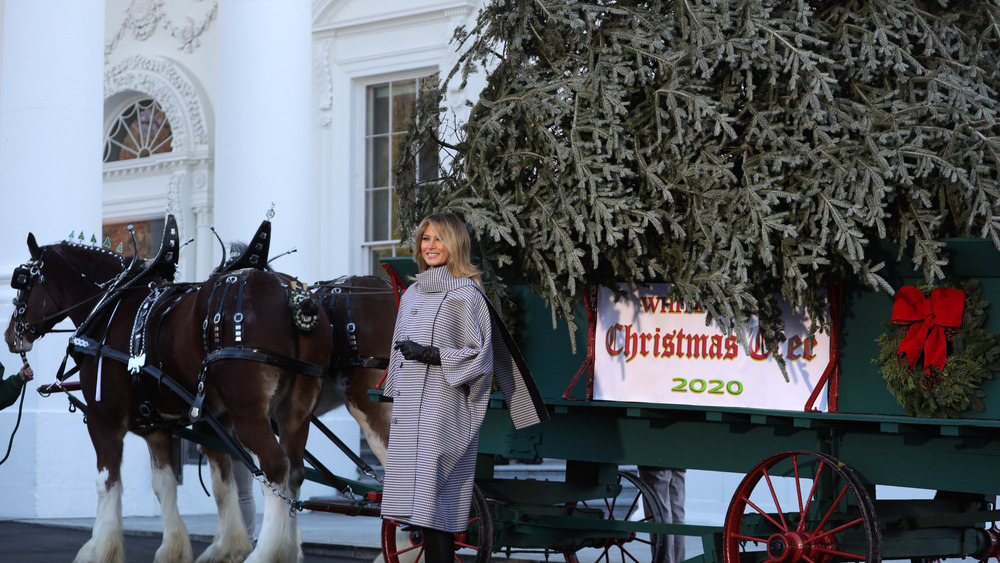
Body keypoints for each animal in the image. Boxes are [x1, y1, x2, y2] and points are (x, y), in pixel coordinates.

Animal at [5, 217, 332, 563]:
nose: (10, 334)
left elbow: (106, 482)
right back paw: (287, 547)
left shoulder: (103, 417)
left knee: (275, 468)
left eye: (22, 281)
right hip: (295, 411)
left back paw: (267, 552)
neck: (110, 307)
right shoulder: (162, 424)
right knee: (294, 472)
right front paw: (189, 548)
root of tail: (294, 296)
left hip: (248, 411)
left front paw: (99, 548)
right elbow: (180, 484)